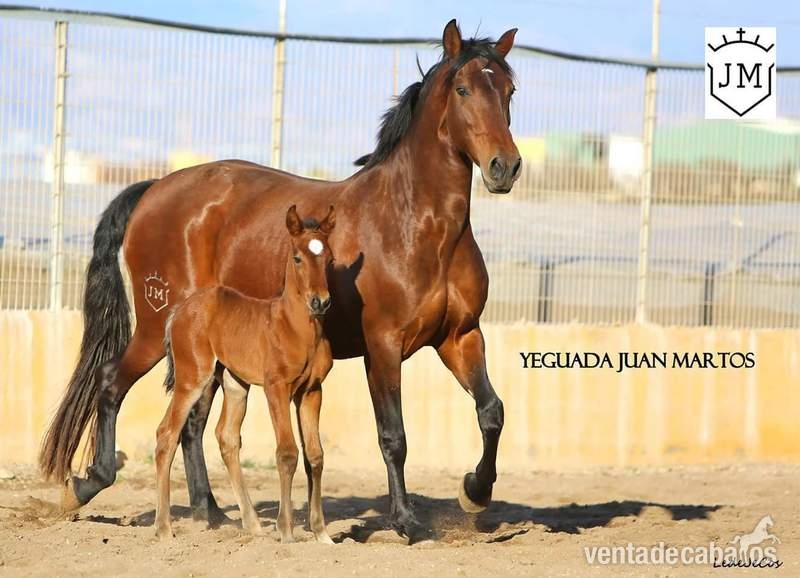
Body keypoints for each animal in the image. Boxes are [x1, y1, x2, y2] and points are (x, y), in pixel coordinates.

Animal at [156, 205, 335, 542]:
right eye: (297, 257)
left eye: (329, 258)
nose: (320, 301)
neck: (295, 327)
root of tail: (180, 309)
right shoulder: (276, 388)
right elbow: (287, 452)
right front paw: (286, 531)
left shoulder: (311, 391)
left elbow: (315, 455)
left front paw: (322, 534)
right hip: (193, 378)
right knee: (167, 434)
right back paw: (163, 528)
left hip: (235, 383)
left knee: (226, 437)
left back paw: (252, 524)